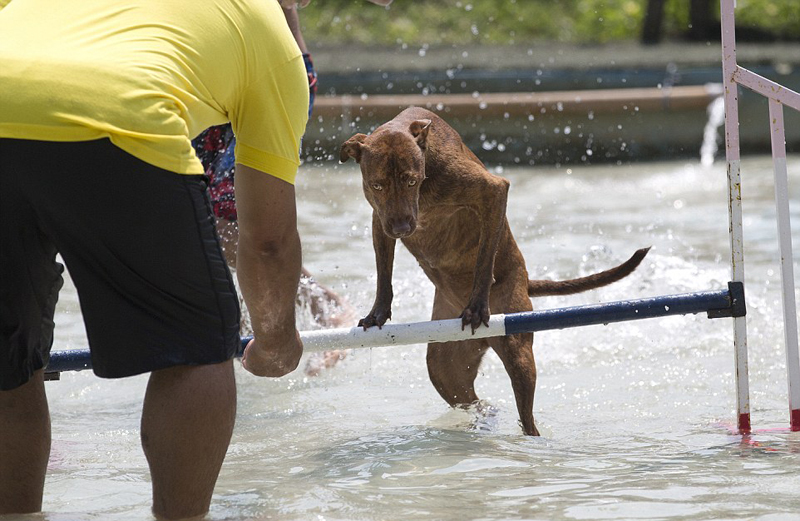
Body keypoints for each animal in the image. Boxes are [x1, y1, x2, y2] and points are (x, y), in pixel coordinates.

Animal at [340, 107, 648, 436]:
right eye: (377, 185)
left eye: (410, 181)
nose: (401, 228)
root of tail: (526, 281)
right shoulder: (380, 219)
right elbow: (383, 270)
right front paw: (378, 312)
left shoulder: (491, 192)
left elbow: (485, 257)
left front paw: (477, 305)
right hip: (444, 368)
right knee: (476, 401)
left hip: (517, 350)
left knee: (526, 416)